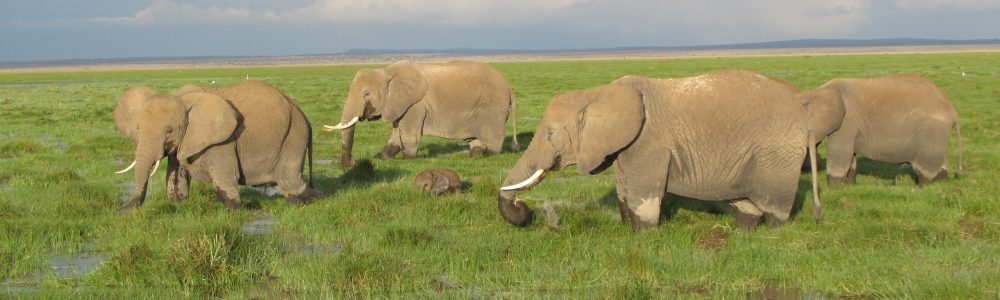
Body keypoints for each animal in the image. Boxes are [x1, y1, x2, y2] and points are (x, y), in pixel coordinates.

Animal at [113, 79, 318, 213]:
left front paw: (237, 210)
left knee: (290, 183)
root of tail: (304, 117)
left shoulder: (222, 140)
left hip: (293, 137)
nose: (120, 211)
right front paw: (178, 203)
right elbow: (176, 173)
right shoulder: (185, 141)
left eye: (169, 131)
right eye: (138, 128)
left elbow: (225, 176)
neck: (180, 99)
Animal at [494, 69, 820, 230]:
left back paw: (772, 233)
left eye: (550, 133)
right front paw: (630, 231)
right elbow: (624, 191)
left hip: (777, 151)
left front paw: (646, 233)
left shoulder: (648, 143)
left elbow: (643, 196)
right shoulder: (625, 148)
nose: (523, 206)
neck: (597, 92)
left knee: (775, 205)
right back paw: (744, 232)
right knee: (745, 202)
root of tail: (804, 116)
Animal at [796, 74, 960, 188]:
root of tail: (953, 111)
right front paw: (849, 187)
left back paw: (924, 188)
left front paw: (834, 190)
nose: (804, 170)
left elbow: (840, 153)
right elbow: (851, 157)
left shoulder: (846, 123)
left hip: (931, 133)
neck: (814, 92)